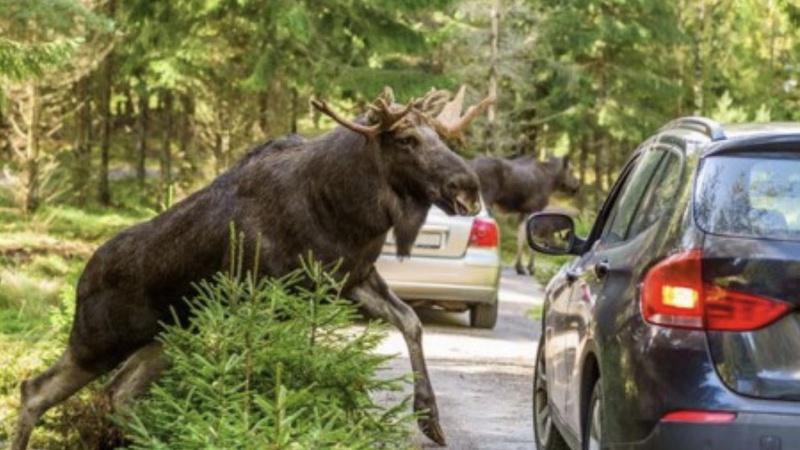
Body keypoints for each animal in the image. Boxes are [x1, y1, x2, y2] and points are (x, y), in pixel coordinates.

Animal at [14, 86, 494, 448]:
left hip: (163, 339)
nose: (468, 188)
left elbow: (411, 321)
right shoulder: (272, 294)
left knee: (117, 392)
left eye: (443, 138)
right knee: (35, 390)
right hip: (99, 341)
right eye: (406, 140)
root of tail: (80, 280)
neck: (346, 212)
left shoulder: (350, 278)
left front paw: (429, 417)